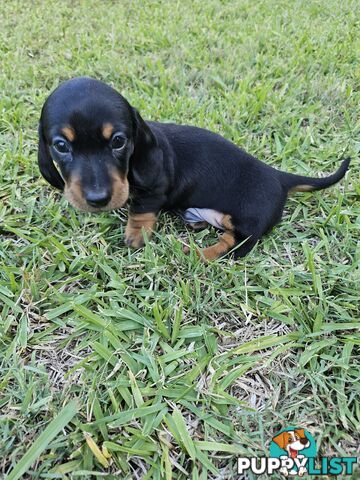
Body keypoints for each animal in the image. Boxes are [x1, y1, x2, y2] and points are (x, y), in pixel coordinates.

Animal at [38, 77, 350, 260]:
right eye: (61, 146)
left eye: (118, 141)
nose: (98, 199)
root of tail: (278, 177)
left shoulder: (155, 190)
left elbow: (141, 211)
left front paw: (136, 236)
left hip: (250, 222)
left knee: (233, 245)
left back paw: (198, 253)